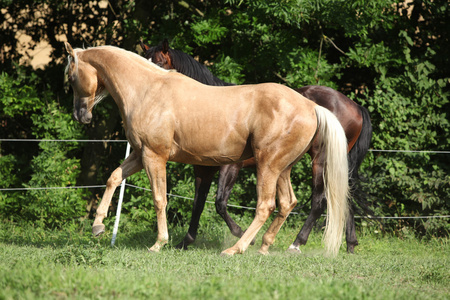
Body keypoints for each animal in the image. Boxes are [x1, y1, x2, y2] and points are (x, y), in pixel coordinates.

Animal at [65, 42, 350, 256]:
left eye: (70, 76)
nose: (81, 116)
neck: (148, 90)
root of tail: (310, 105)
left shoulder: (154, 157)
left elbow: (160, 198)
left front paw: (159, 243)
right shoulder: (139, 154)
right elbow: (113, 178)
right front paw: (98, 226)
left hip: (268, 165)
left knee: (266, 205)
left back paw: (237, 248)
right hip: (283, 168)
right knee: (287, 202)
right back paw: (264, 246)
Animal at [141, 39, 372, 253]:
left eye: (160, 63)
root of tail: (355, 106)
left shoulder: (230, 167)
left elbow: (220, 203)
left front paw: (243, 236)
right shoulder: (203, 169)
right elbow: (198, 203)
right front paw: (185, 242)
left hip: (319, 162)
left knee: (319, 201)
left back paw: (296, 243)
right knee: (345, 197)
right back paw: (350, 244)